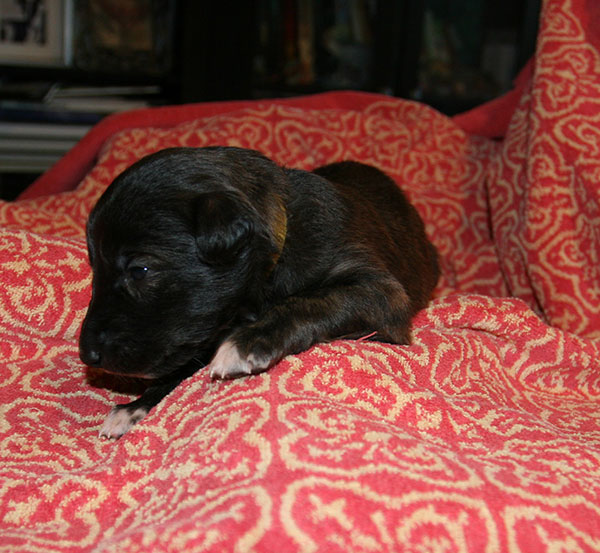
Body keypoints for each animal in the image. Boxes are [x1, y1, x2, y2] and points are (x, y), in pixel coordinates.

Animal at [79, 146, 439, 438]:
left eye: (140, 270)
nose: (87, 355)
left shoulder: (380, 293)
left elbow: (312, 301)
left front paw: (249, 341)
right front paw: (137, 406)